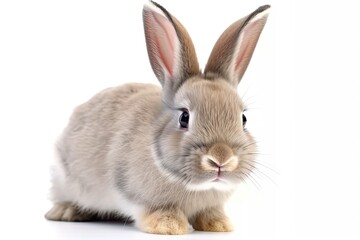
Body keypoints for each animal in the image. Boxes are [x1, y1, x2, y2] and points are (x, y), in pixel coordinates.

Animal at [45, 0, 270, 234]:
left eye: (243, 119)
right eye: (184, 117)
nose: (221, 158)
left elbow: (210, 212)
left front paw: (219, 225)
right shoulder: (138, 194)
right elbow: (156, 209)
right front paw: (168, 226)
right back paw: (66, 211)